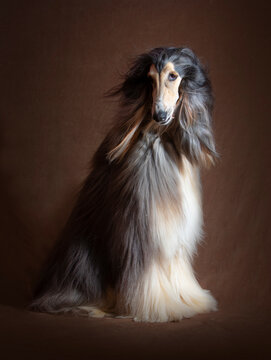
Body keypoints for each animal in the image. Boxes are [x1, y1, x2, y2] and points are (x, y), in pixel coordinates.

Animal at [30, 46, 219, 322]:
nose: (159, 115)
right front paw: (158, 308)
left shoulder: (174, 234)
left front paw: (190, 300)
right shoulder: (143, 226)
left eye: (173, 76)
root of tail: (45, 295)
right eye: (149, 79)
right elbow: (146, 268)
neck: (162, 139)